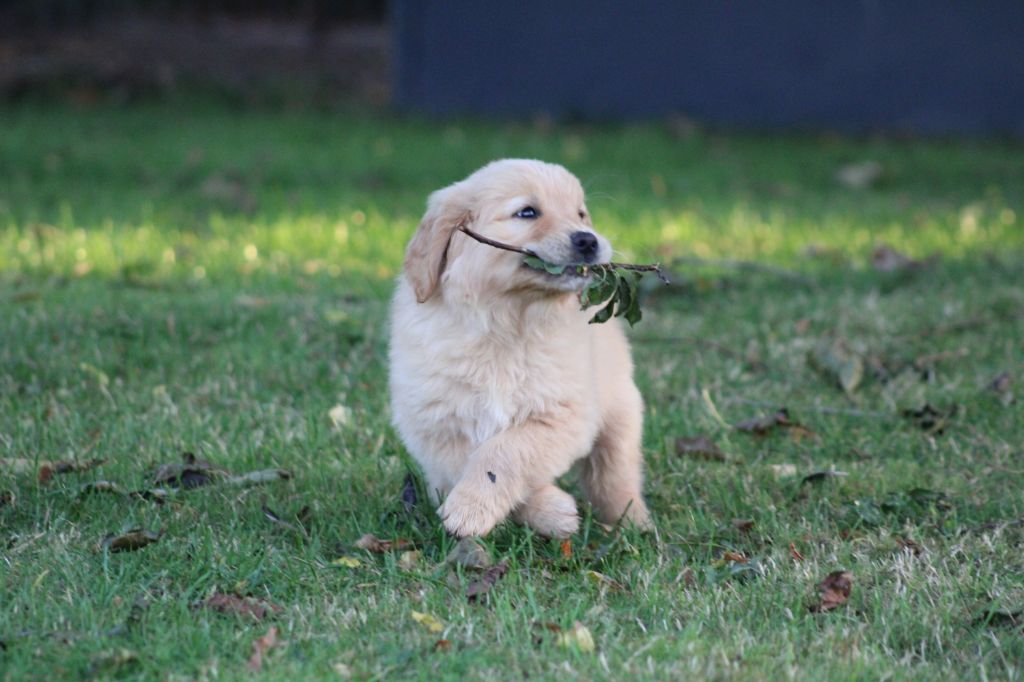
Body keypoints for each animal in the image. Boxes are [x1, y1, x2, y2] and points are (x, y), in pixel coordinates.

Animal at [387, 159, 651, 536]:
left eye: (580, 214)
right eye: (527, 212)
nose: (588, 239)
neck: (507, 322)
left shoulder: (563, 414)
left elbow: (504, 451)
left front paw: (471, 509)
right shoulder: (436, 420)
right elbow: (465, 463)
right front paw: (548, 510)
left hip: (620, 409)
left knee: (614, 472)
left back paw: (632, 522)